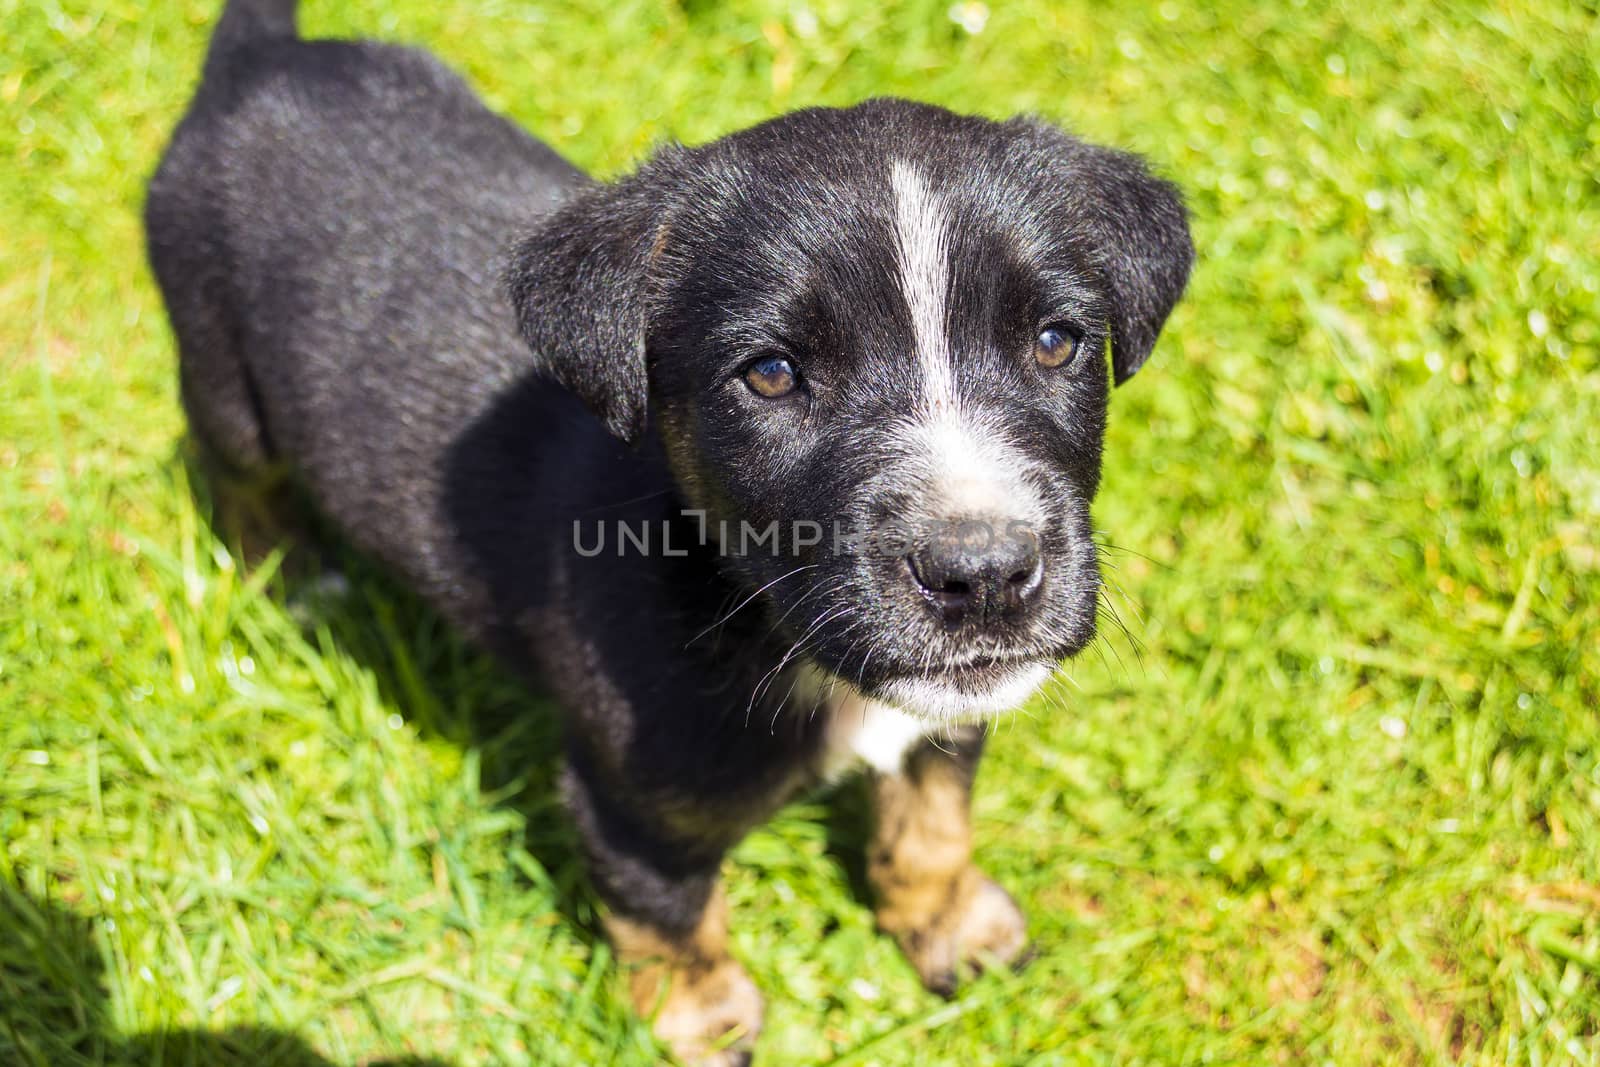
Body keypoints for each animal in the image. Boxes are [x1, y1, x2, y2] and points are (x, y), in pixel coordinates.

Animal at [150, 2, 1196, 1062]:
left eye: (1056, 342)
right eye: (771, 374)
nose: (983, 573)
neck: (758, 619)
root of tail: (260, 59)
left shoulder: (949, 714)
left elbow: (933, 819)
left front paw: (955, 929)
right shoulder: (632, 802)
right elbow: (669, 916)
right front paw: (703, 1018)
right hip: (222, 377)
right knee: (238, 476)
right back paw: (299, 581)